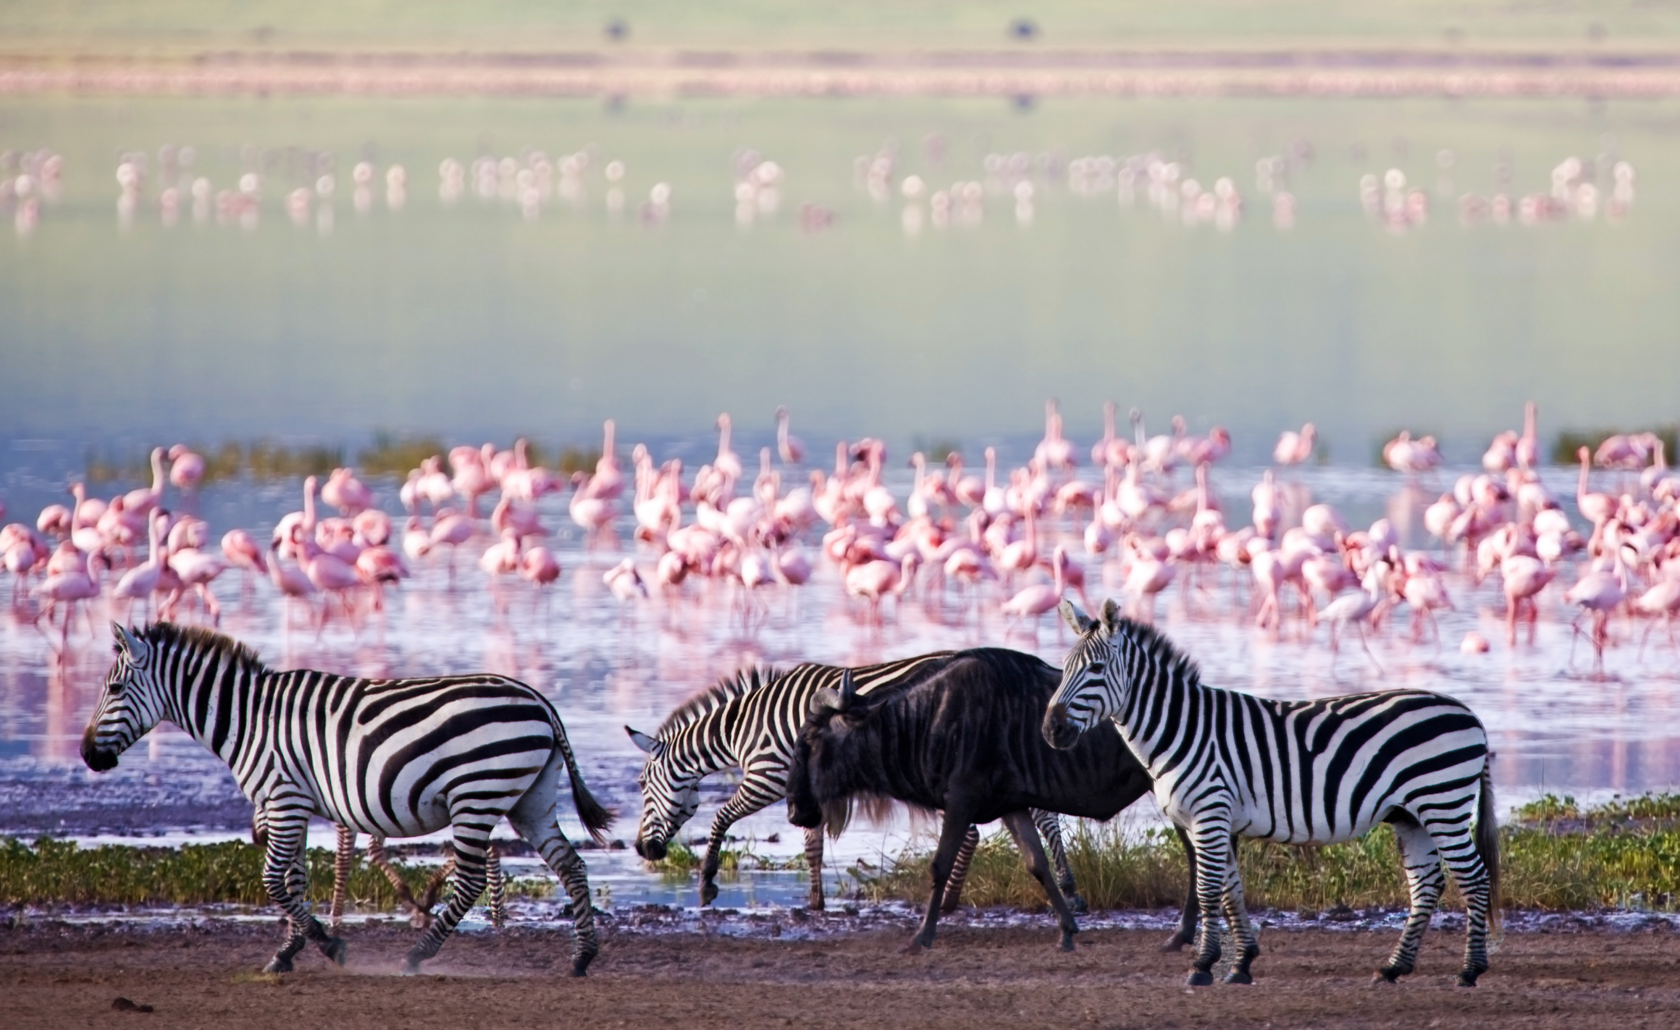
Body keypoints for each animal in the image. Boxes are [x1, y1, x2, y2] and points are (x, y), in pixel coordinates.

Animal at [81, 621, 614, 974]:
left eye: (114, 687)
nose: (87, 754)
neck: (249, 719)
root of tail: (537, 699)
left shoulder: (283, 799)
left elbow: (274, 880)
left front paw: (327, 944)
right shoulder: (291, 804)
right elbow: (294, 880)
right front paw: (288, 952)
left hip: (476, 795)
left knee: (471, 879)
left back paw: (417, 954)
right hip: (530, 799)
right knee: (571, 865)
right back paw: (582, 957)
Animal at [624, 655, 1081, 914]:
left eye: (643, 786)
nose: (642, 850)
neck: (743, 728)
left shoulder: (767, 777)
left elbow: (720, 818)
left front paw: (706, 884)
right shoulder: (805, 788)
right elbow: (812, 846)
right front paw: (814, 903)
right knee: (1041, 815)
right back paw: (1068, 887)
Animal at [1041, 601, 1505, 987]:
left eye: (1097, 669)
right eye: (1064, 668)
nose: (1051, 730)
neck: (1181, 729)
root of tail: (1470, 713)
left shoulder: (1210, 814)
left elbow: (1209, 891)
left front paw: (1202, 965)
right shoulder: (1211, 820)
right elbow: (1231, 891)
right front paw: (1241, 963)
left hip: (1442, 803)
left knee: (1474, 878)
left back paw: (1470, 970)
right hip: (1411, 814)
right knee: (1426, 884)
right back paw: (1394, 968)